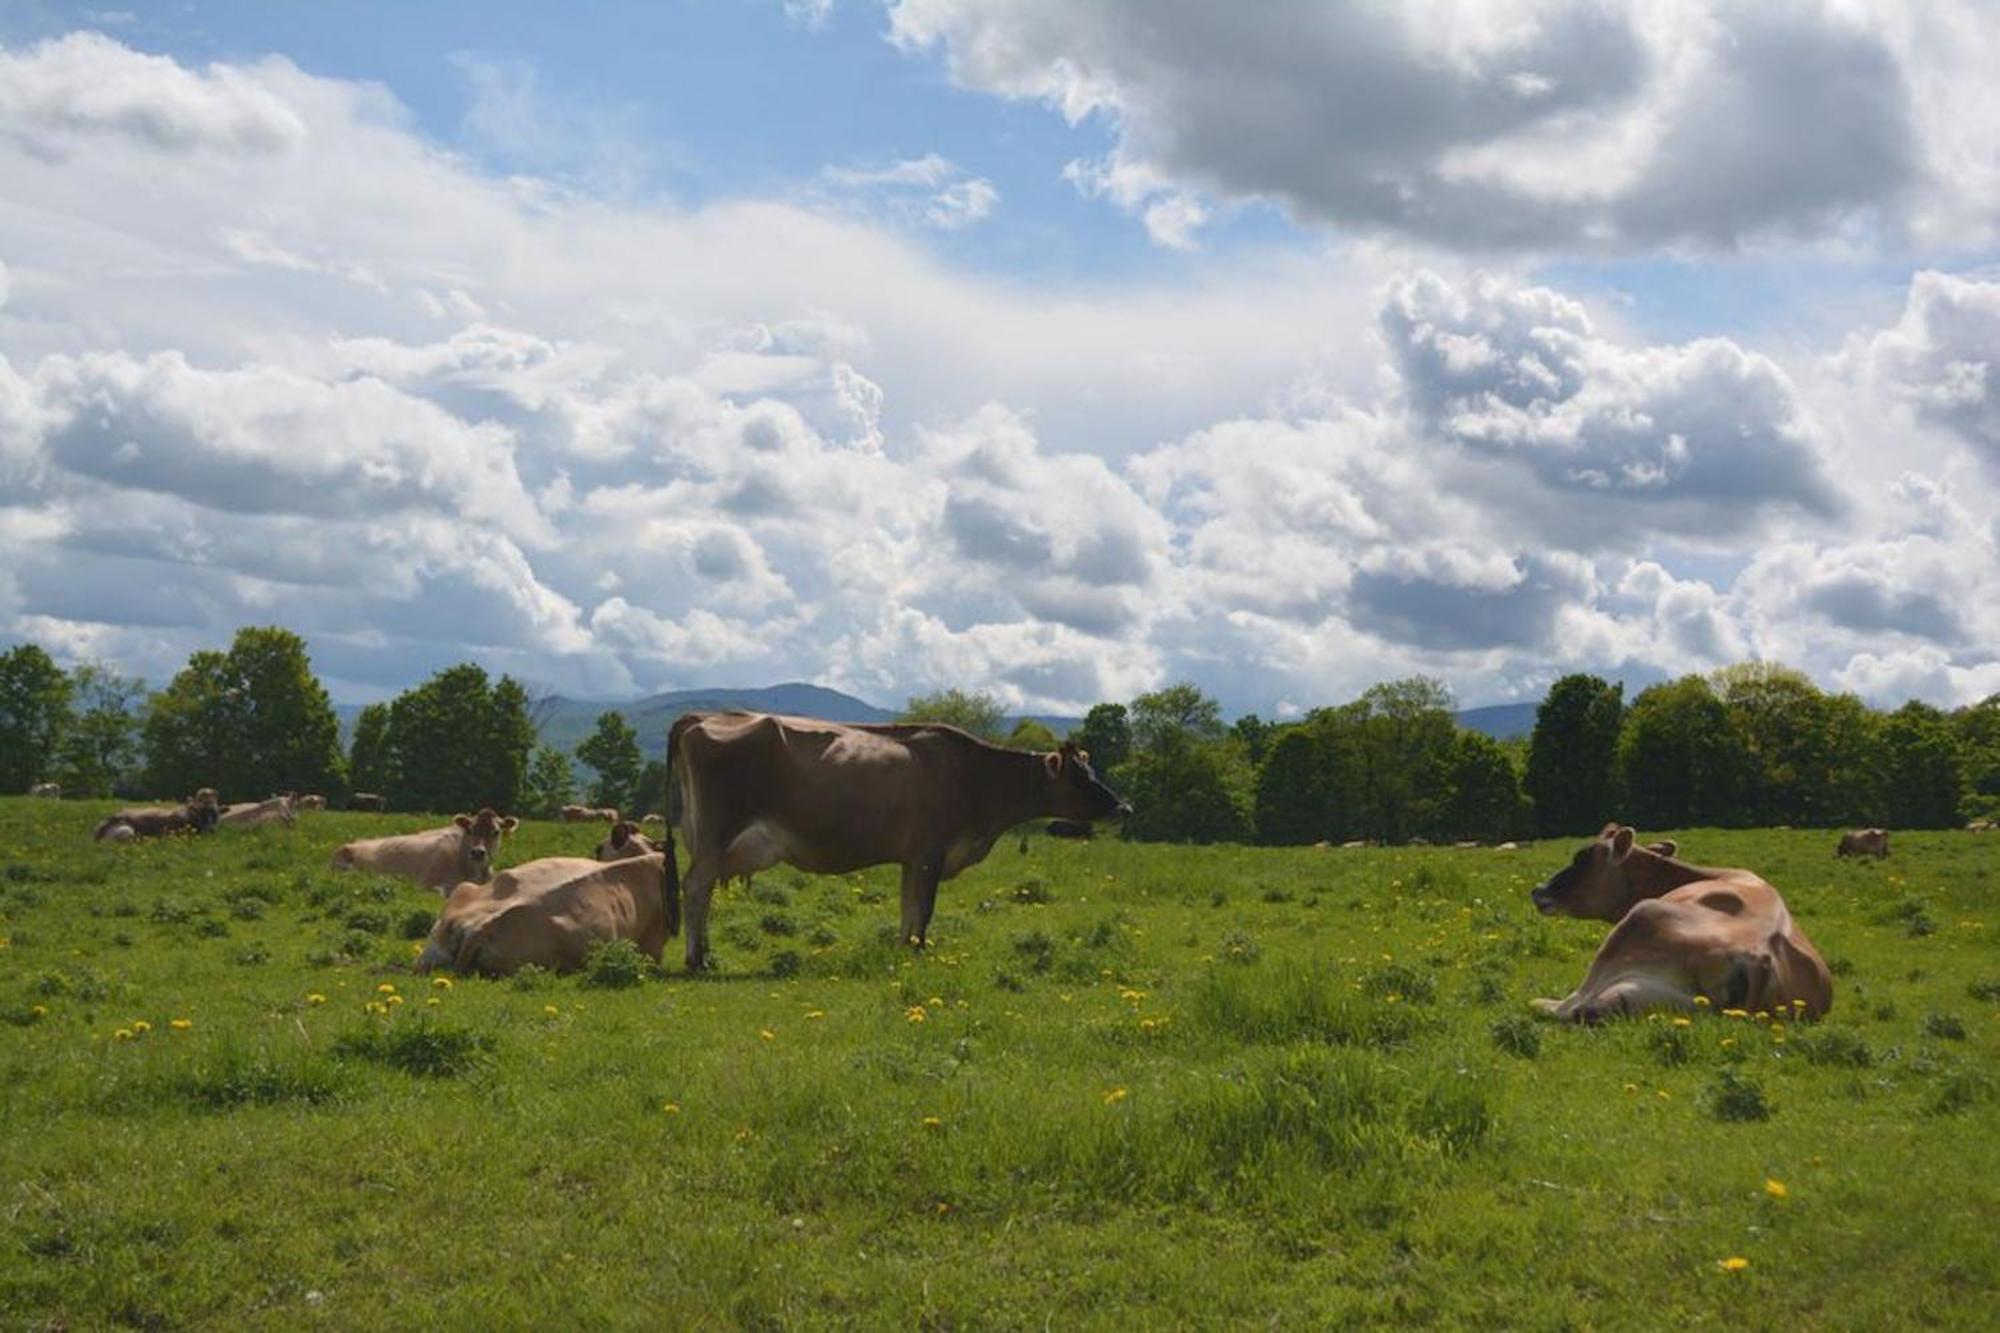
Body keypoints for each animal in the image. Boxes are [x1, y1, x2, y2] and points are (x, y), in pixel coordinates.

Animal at [672, 716, 1136, 964]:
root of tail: (700, 718)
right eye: (1080, 779)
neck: (975, 776)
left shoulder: (913, 858)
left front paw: (901, 948)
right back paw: (697, 959)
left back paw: (707, 951)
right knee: (695, 889)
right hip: (716, 836)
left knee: (705, 893)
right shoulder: (931, 852)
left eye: (1091, 772)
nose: (1124, 808)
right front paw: (917, 950)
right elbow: (923, 909)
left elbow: (907, 907)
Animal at [1528, 820, 1832, 1016]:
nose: (1537, 890)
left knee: (1573, 1006)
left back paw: (1544, 1003)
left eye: (1582, 858)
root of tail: (1760, 958)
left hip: (1640, 920)